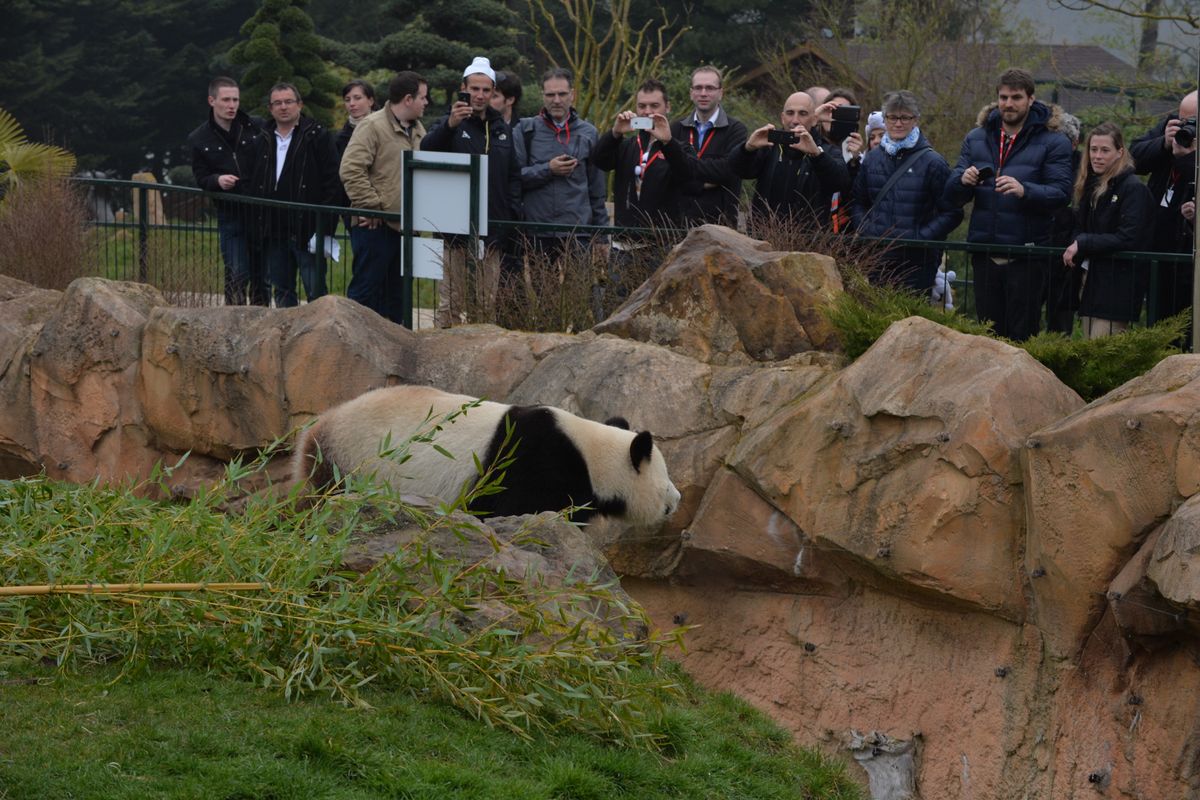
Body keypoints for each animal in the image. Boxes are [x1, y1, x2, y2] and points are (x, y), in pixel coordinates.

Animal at [292, 385, 681, 527]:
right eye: (665, 480)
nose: (677, 499)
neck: (590, 454)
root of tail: (314, 429)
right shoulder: (536, 465)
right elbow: (513, 510)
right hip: (348, 461)